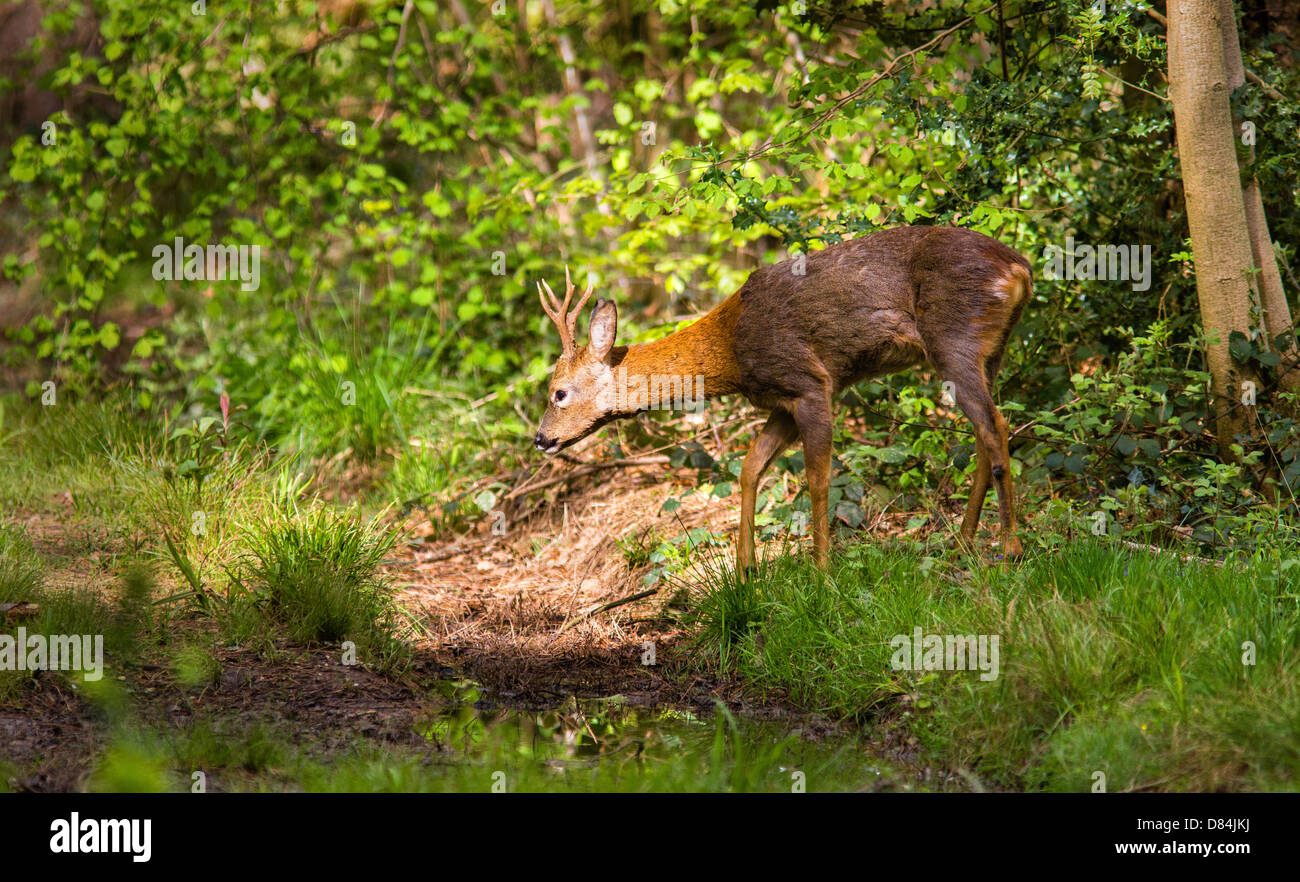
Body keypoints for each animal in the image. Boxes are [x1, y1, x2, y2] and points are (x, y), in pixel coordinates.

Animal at [533, 227, 1029, 569]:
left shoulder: (809, 381)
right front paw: (745, 570)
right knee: (985, 430)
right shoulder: (782, 402)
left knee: (996, 424)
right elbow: (750, 467)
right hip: (991, 350)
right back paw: (963, 542)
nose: (540, 439)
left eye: (559, 392)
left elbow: (817, 478)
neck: (731, 350)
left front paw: (822, 570)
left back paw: (1010, 546)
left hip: (953, 336)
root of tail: (1020, 269)